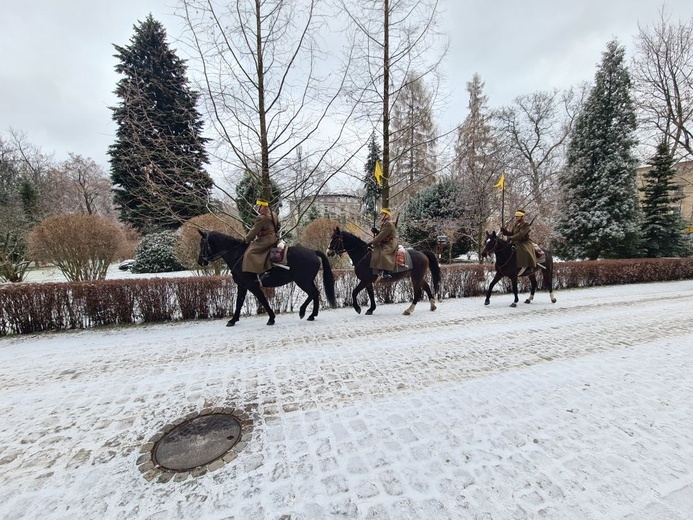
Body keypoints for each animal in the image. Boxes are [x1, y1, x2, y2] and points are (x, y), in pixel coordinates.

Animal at [196, 231, 336, 324]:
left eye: (202, 244)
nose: (200, 262)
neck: (238, 255)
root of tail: (313, 252)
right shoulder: (242, 285)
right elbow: (239, 302)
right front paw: (233, 320)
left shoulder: (252, 285)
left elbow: (262, 300)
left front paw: (271, 318)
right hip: (307, 281)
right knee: (315, 293)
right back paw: (312, 315)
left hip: (303, 281)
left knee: (312, 293)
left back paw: (303, 312)